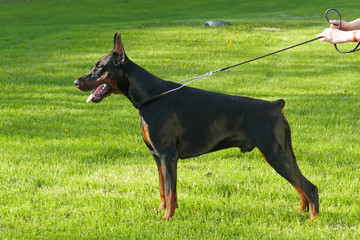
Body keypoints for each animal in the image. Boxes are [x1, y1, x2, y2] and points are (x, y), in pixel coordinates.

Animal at [74, 32, 320, 220]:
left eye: (99, 67)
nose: (76, 82)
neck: (150, 96)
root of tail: (276, 105)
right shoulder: (157, 156)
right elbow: (163, 190)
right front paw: (160, 213)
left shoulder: (168, 156)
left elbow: (170, 192)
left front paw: (167, 219)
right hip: (276, 154)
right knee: (300, 187)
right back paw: (301, 213)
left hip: (275, 152)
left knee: (309, 187)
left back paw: (313, 221)